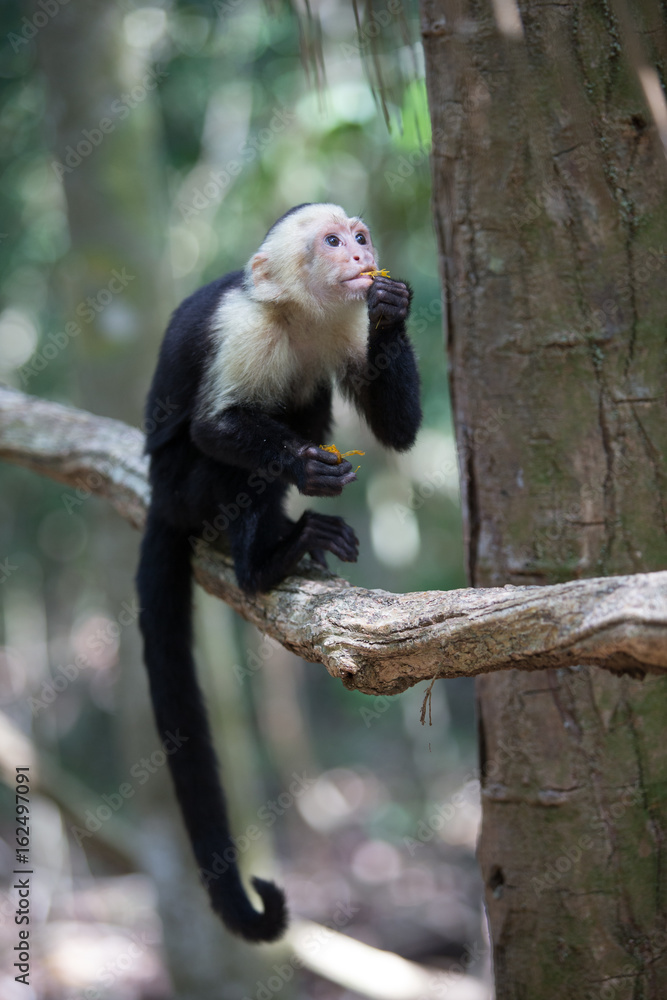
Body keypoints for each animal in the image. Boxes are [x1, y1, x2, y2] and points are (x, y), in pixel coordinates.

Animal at [136, 203, 422, 942]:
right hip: (181, 489)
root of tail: (156, 497)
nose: (361, 255)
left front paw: (393, 309)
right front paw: (300, 467)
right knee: (228, 458)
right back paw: (264, 561)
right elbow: (215, 429)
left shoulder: (345, 324)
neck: (300, 315)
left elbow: (396, 431)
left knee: (308, 400)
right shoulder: (245, 329)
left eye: (359, 237)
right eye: (332, 241)